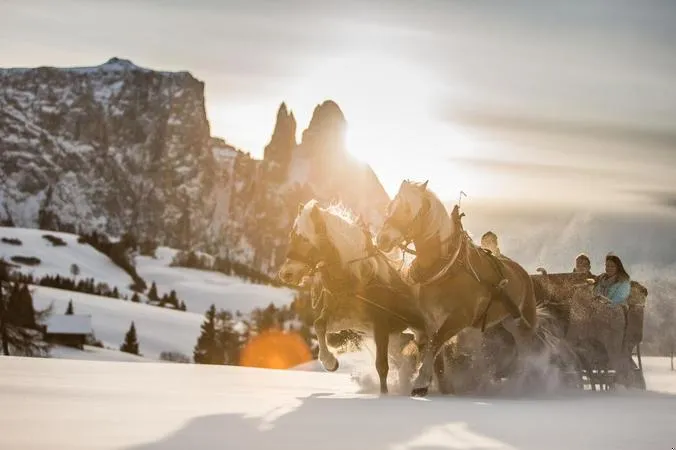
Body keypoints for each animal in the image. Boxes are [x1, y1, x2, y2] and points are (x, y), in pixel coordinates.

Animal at [277, 199, 428, 394]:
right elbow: (319, 325)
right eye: (292, 235)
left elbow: (382, 366)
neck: (357, 278)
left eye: (304, 238)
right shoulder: (346, 320)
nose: (285, 274)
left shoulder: (381, 325)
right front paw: (330, 362)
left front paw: (384, 394)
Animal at [375, 179, 546, 397]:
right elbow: (435, 353)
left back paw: (528, 379)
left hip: (525, 321)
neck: (446, 267)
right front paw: (443, 388)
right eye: (390, 207)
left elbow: (436, 344)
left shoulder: (459, 318)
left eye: (407, 208)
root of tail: (521, 271)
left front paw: (421, 381)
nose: (382, 239)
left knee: (529, 350)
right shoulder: (429, 321)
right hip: (508, 320)